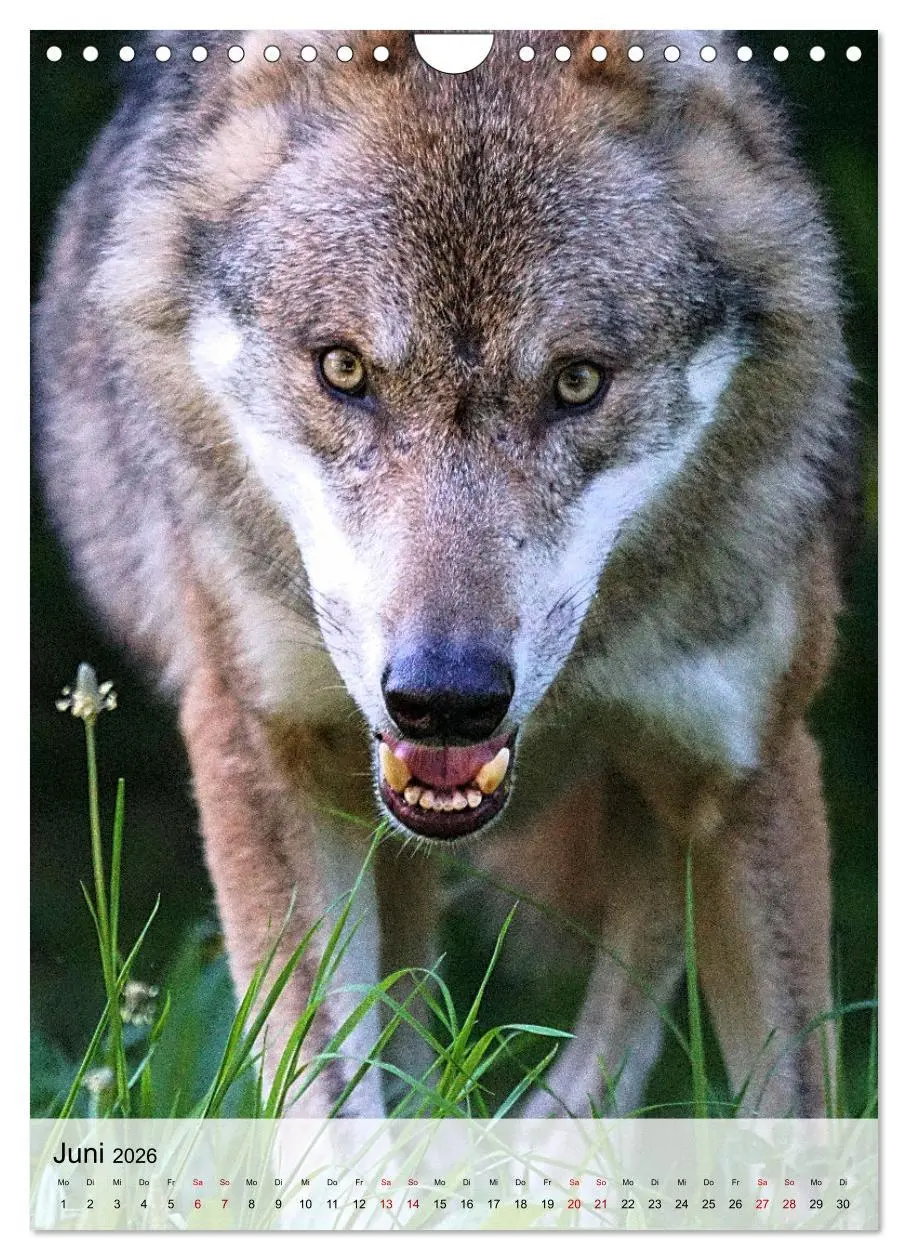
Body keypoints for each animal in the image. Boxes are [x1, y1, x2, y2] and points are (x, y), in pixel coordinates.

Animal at [35, 29, 855, 1118]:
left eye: (577, 382)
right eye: (343, 370)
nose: (444, 698)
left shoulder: (751, 763)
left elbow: (793, 1120)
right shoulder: (259, 743)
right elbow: (335, 1116)